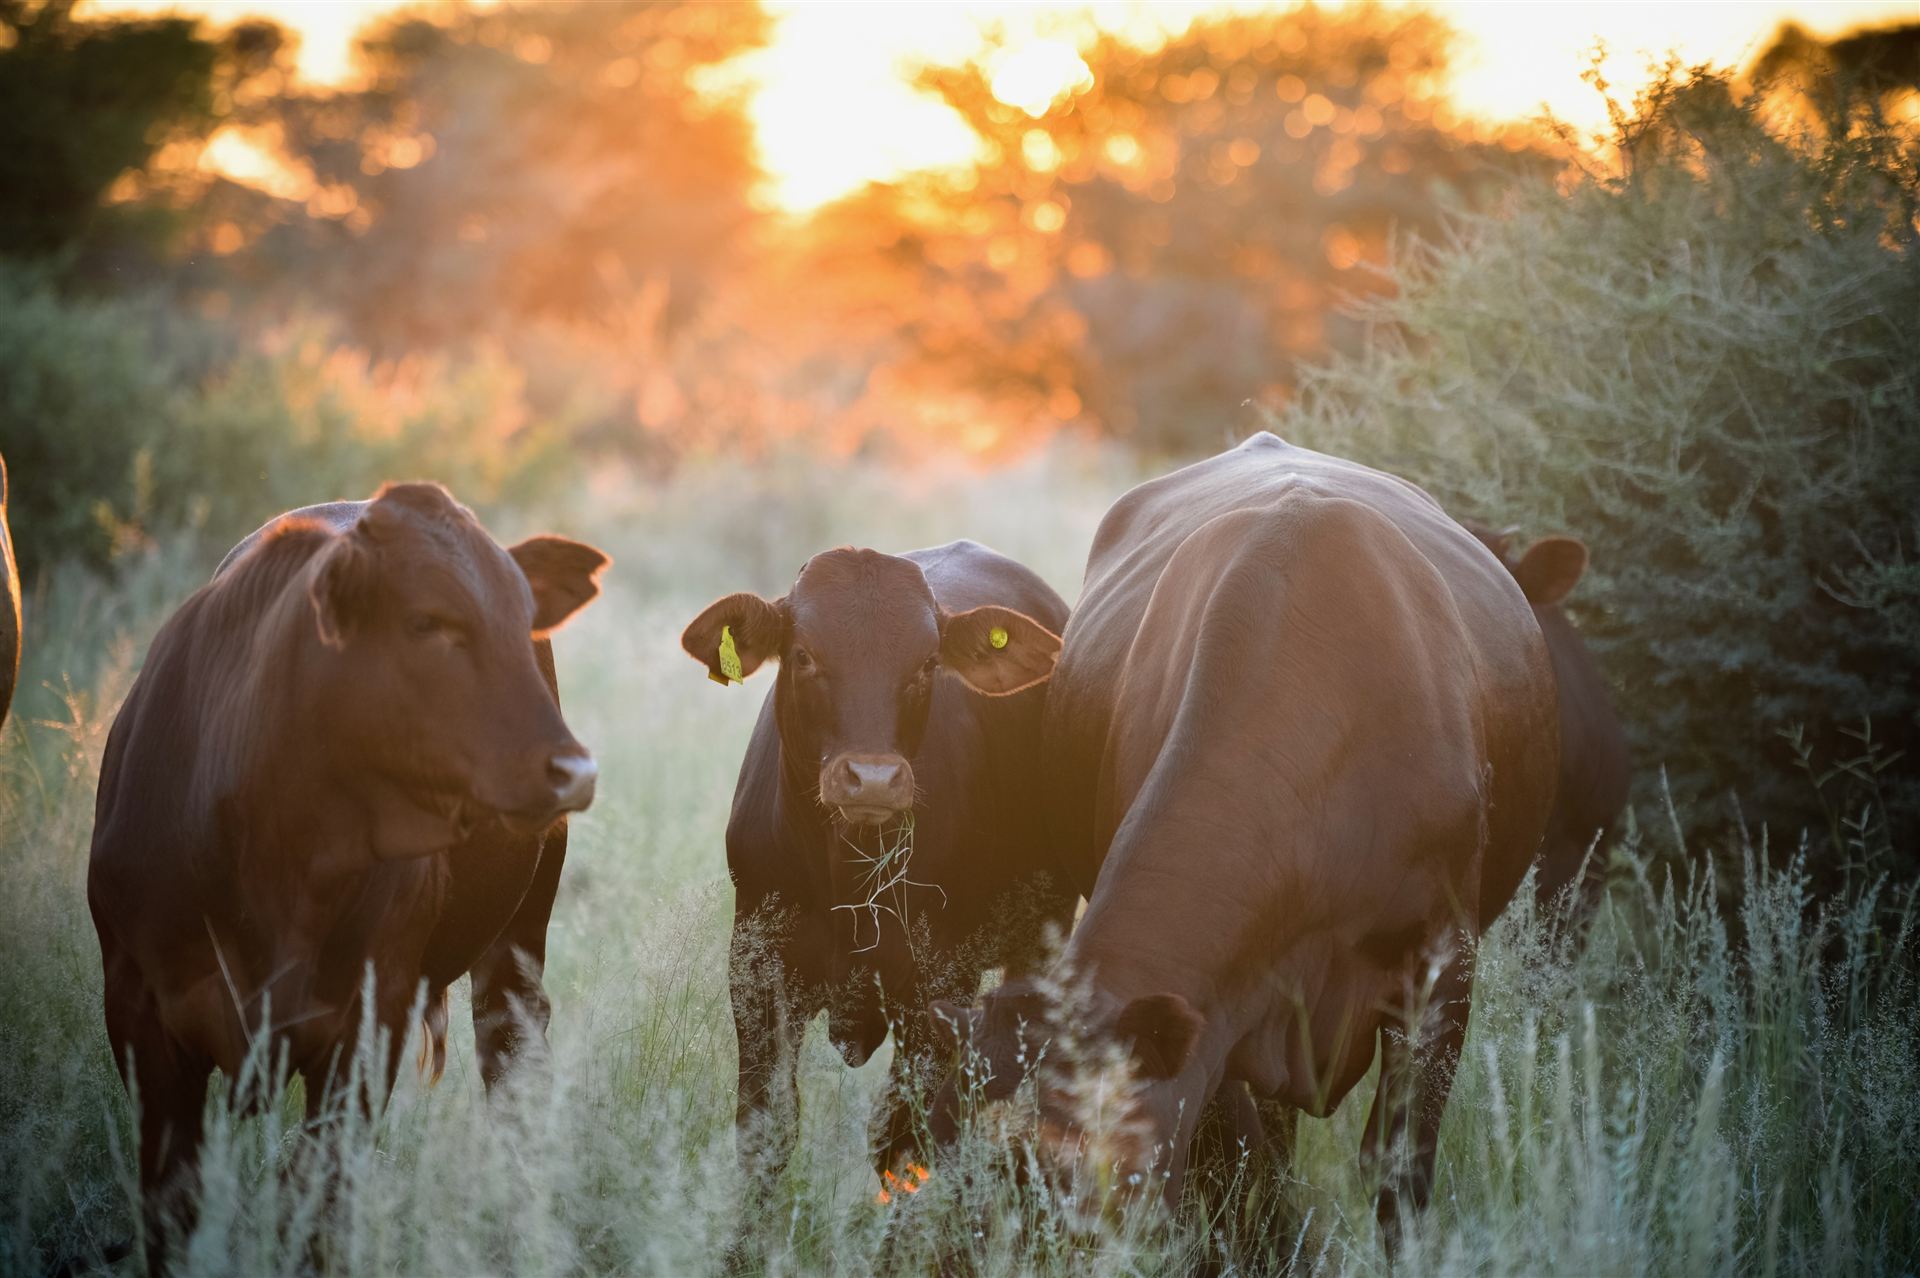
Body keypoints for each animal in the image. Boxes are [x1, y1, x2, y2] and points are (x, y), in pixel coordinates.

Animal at [88, 482, 607, 1262]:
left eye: (523, 621)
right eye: (427, 621)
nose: (574, 770)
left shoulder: (366, 1028)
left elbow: (316, 1212)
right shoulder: (140, 1016)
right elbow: (172, 1214)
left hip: (517, 939)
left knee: (513, 1063)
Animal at [680, 540, 1076, 1225]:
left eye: (926, 664)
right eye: (805, 654)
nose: (871, 778)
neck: (846, 878)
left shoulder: (937, 986)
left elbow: (900, 1141)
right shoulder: (755, 970)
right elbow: (765, 1130)